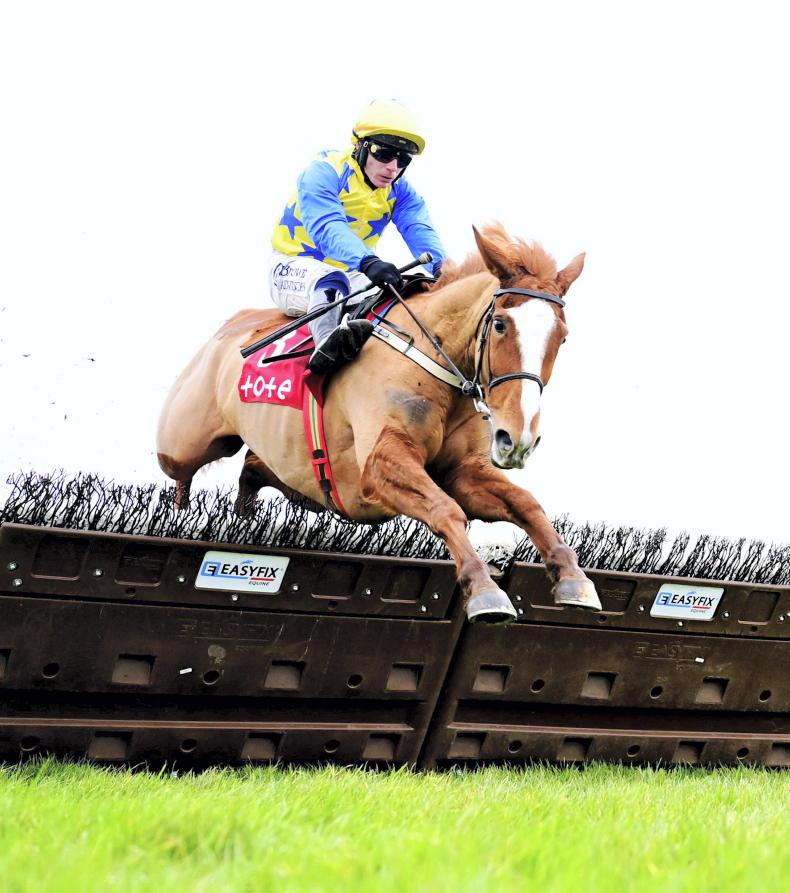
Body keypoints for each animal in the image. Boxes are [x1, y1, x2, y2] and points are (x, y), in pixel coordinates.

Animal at [156, 223, 601, 623]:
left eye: (562, 337)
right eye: (500, 325)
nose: (518, 439)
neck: (431, 359)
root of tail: (233, 325)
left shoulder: (463, 471)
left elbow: (526, 504)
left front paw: (573, 578)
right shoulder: (380, 463)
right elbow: (446, 510)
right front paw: (484, 591)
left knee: (250, 471)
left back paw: (241, 520)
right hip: (183, 441)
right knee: (181, 478)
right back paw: (179, 521)